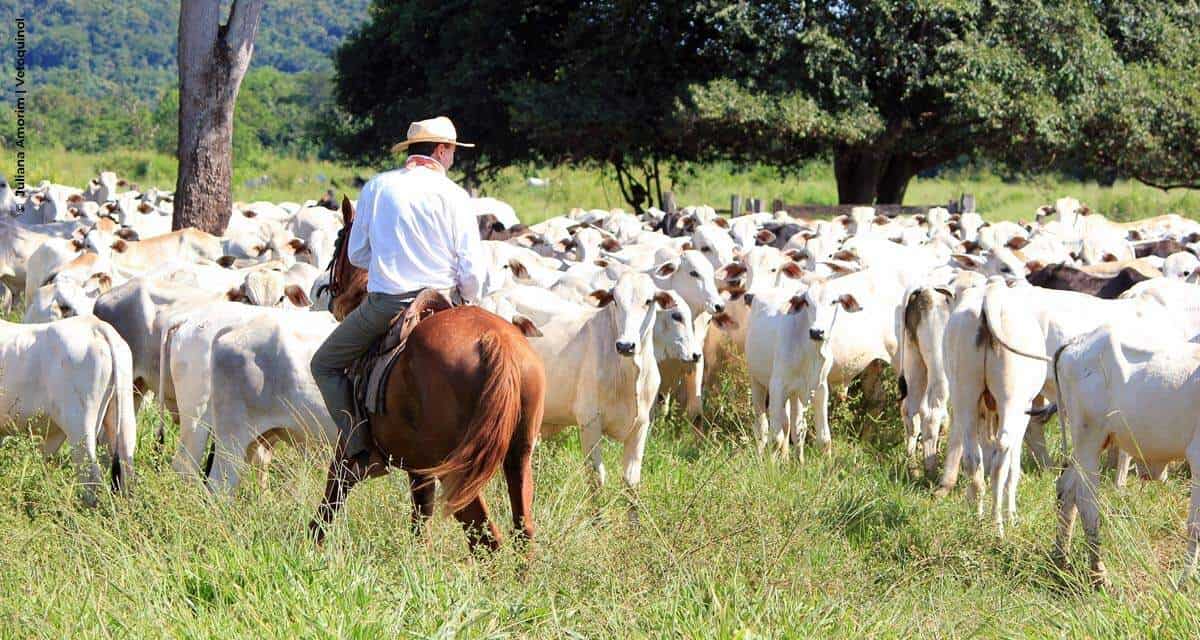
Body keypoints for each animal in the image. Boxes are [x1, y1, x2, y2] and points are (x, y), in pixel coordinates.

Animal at [307, 196, 547, 552]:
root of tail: (496, 342)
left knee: (486, 538)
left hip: (458, 469)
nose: (327, 294)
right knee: (522, 530)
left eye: (338, 241)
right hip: (518, 456)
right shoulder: (420, 469)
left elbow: (331, 498)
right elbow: (420, 520)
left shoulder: (347, 446)